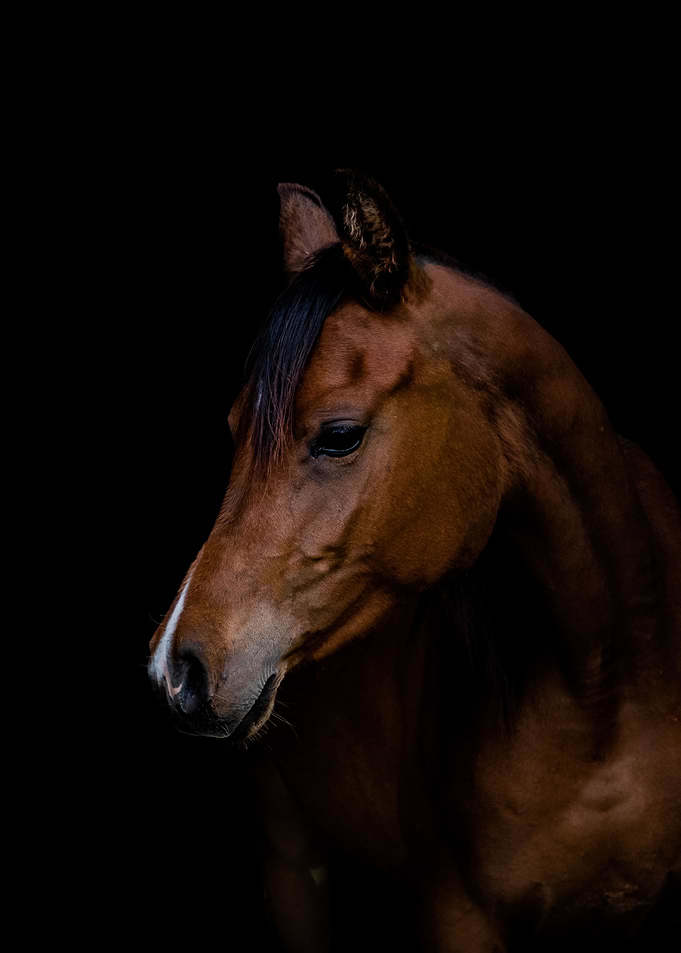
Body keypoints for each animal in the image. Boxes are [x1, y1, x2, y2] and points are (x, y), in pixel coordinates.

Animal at [148, 169, 680, 951]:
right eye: (234, 428)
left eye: (339, 434)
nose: (174, 670)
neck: (613, 684)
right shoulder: (458, 916)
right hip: (290, 857)